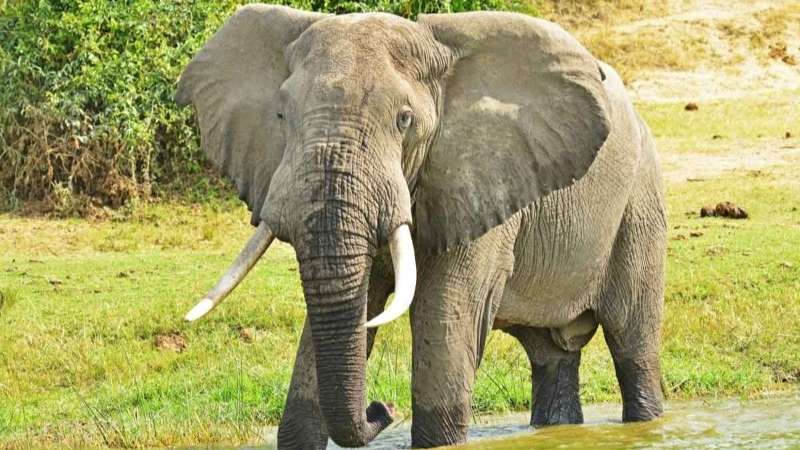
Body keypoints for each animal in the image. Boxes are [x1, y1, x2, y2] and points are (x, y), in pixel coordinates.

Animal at [175, 5, 667, 449]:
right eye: (281, 117)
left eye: (404, 120)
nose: (383, 408)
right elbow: (342, 311)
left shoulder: (479, 178)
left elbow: (443, 310)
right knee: (552, 357)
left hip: (639, 204)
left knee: (632, 343)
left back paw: (647, 422)